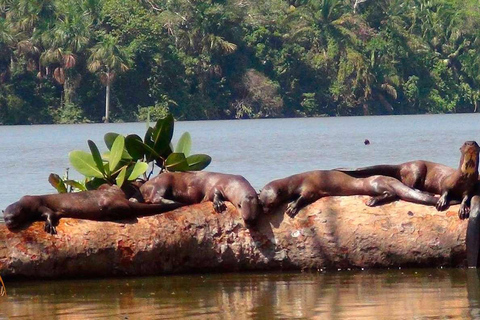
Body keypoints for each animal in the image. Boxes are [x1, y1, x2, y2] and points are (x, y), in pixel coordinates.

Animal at [338, 141, 480, 219]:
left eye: (476, 142)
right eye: (466, 143)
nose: (471, 143)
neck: (464, 177)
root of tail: (403, 164)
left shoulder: (469, 187)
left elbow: (466, 197)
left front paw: (463, 208)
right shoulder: (447, 182)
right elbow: (445, 191)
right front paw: (441, 201)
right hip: (417, 168)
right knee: (410, 185)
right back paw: (425, 192)